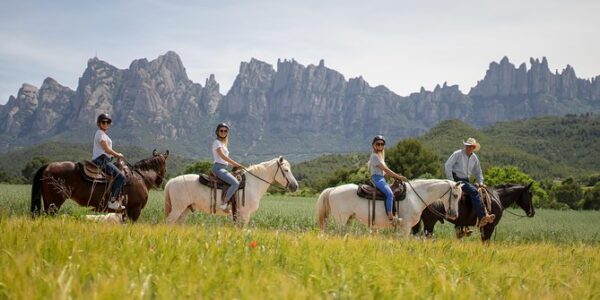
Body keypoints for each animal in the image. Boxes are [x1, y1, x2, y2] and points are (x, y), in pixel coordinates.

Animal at [31, 149, 169, 221]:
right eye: (164, 166)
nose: (159, 183)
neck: (141, 177)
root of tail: (48, 166)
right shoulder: (135, 210)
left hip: (49, 202)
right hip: (54, 203)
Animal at [164, 157, 298, 225]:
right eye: (286, 170)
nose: (295, 186)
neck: (252, 184)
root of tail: (171, 181)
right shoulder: (245, 214)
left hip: (185, 209)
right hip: (177, 209)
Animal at [316, 179, 462, 236]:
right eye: (455, 195)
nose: (454, 215)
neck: (415, 196)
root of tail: (333, 189)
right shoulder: (406, 227)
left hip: (348, 220)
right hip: (341, 220)